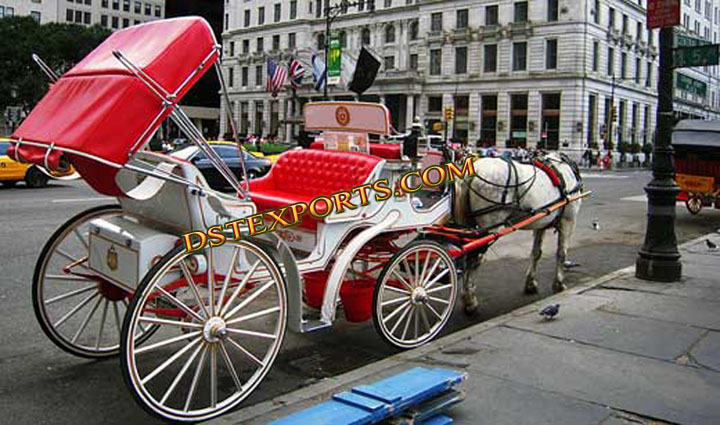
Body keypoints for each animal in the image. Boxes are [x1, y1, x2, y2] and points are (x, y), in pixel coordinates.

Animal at [452, 154, 584, 314]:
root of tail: (473, 170)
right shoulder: (568, 221)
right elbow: (561, 252)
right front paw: (559, 284)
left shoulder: (541, 222)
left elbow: (536, 253)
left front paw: (531, 283)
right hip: (488, 227)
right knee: (474, 259)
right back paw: (470, 301)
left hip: (469, 226)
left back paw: (466, 296)